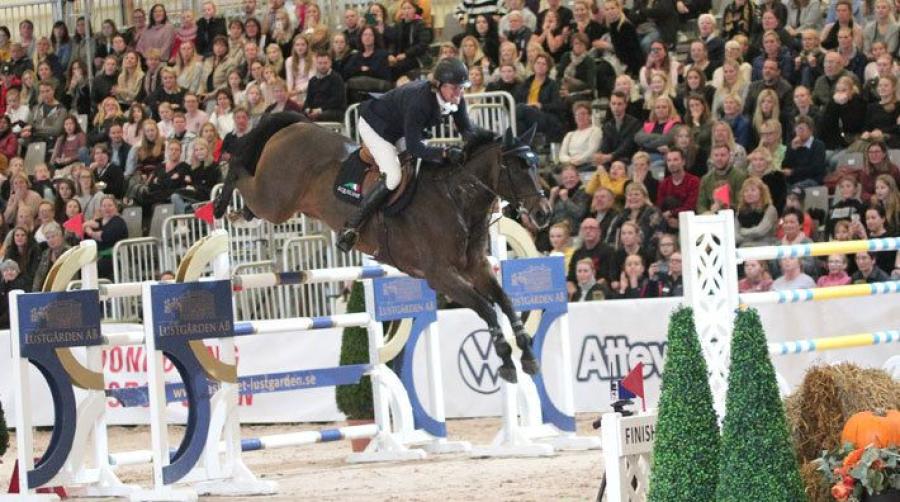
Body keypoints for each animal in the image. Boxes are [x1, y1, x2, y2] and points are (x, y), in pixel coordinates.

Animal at [213, 113, 552, 383]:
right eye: (517, 167)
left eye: (536, 165)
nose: (544, 214)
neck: (457, 199)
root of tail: (296, 126)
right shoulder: (440, 276)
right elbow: (487, 308)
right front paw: (506, 359)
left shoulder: (477, 268)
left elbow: (505, 301)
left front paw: (528, 356)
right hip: (275, 200)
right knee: (240, 172)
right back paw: (219, 205)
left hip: (277, 203)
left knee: (250, 194)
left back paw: (240, 215)